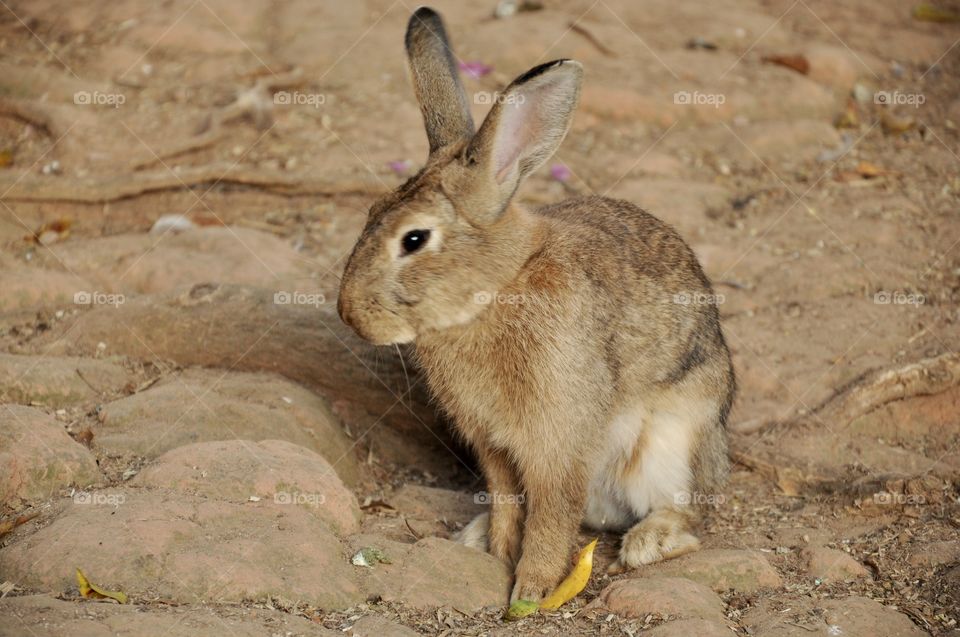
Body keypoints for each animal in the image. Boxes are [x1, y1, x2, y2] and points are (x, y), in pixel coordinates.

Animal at [338, 4, 736, 600]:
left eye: (414, 239)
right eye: (369, 214)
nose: (349, 314)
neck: (499, 285)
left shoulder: (557, 437)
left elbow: (550, 512)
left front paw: (533, 590)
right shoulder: (494, 446)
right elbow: (508, 499)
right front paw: (499, 553)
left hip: (674, 441)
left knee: (688, 512)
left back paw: (648, 542)